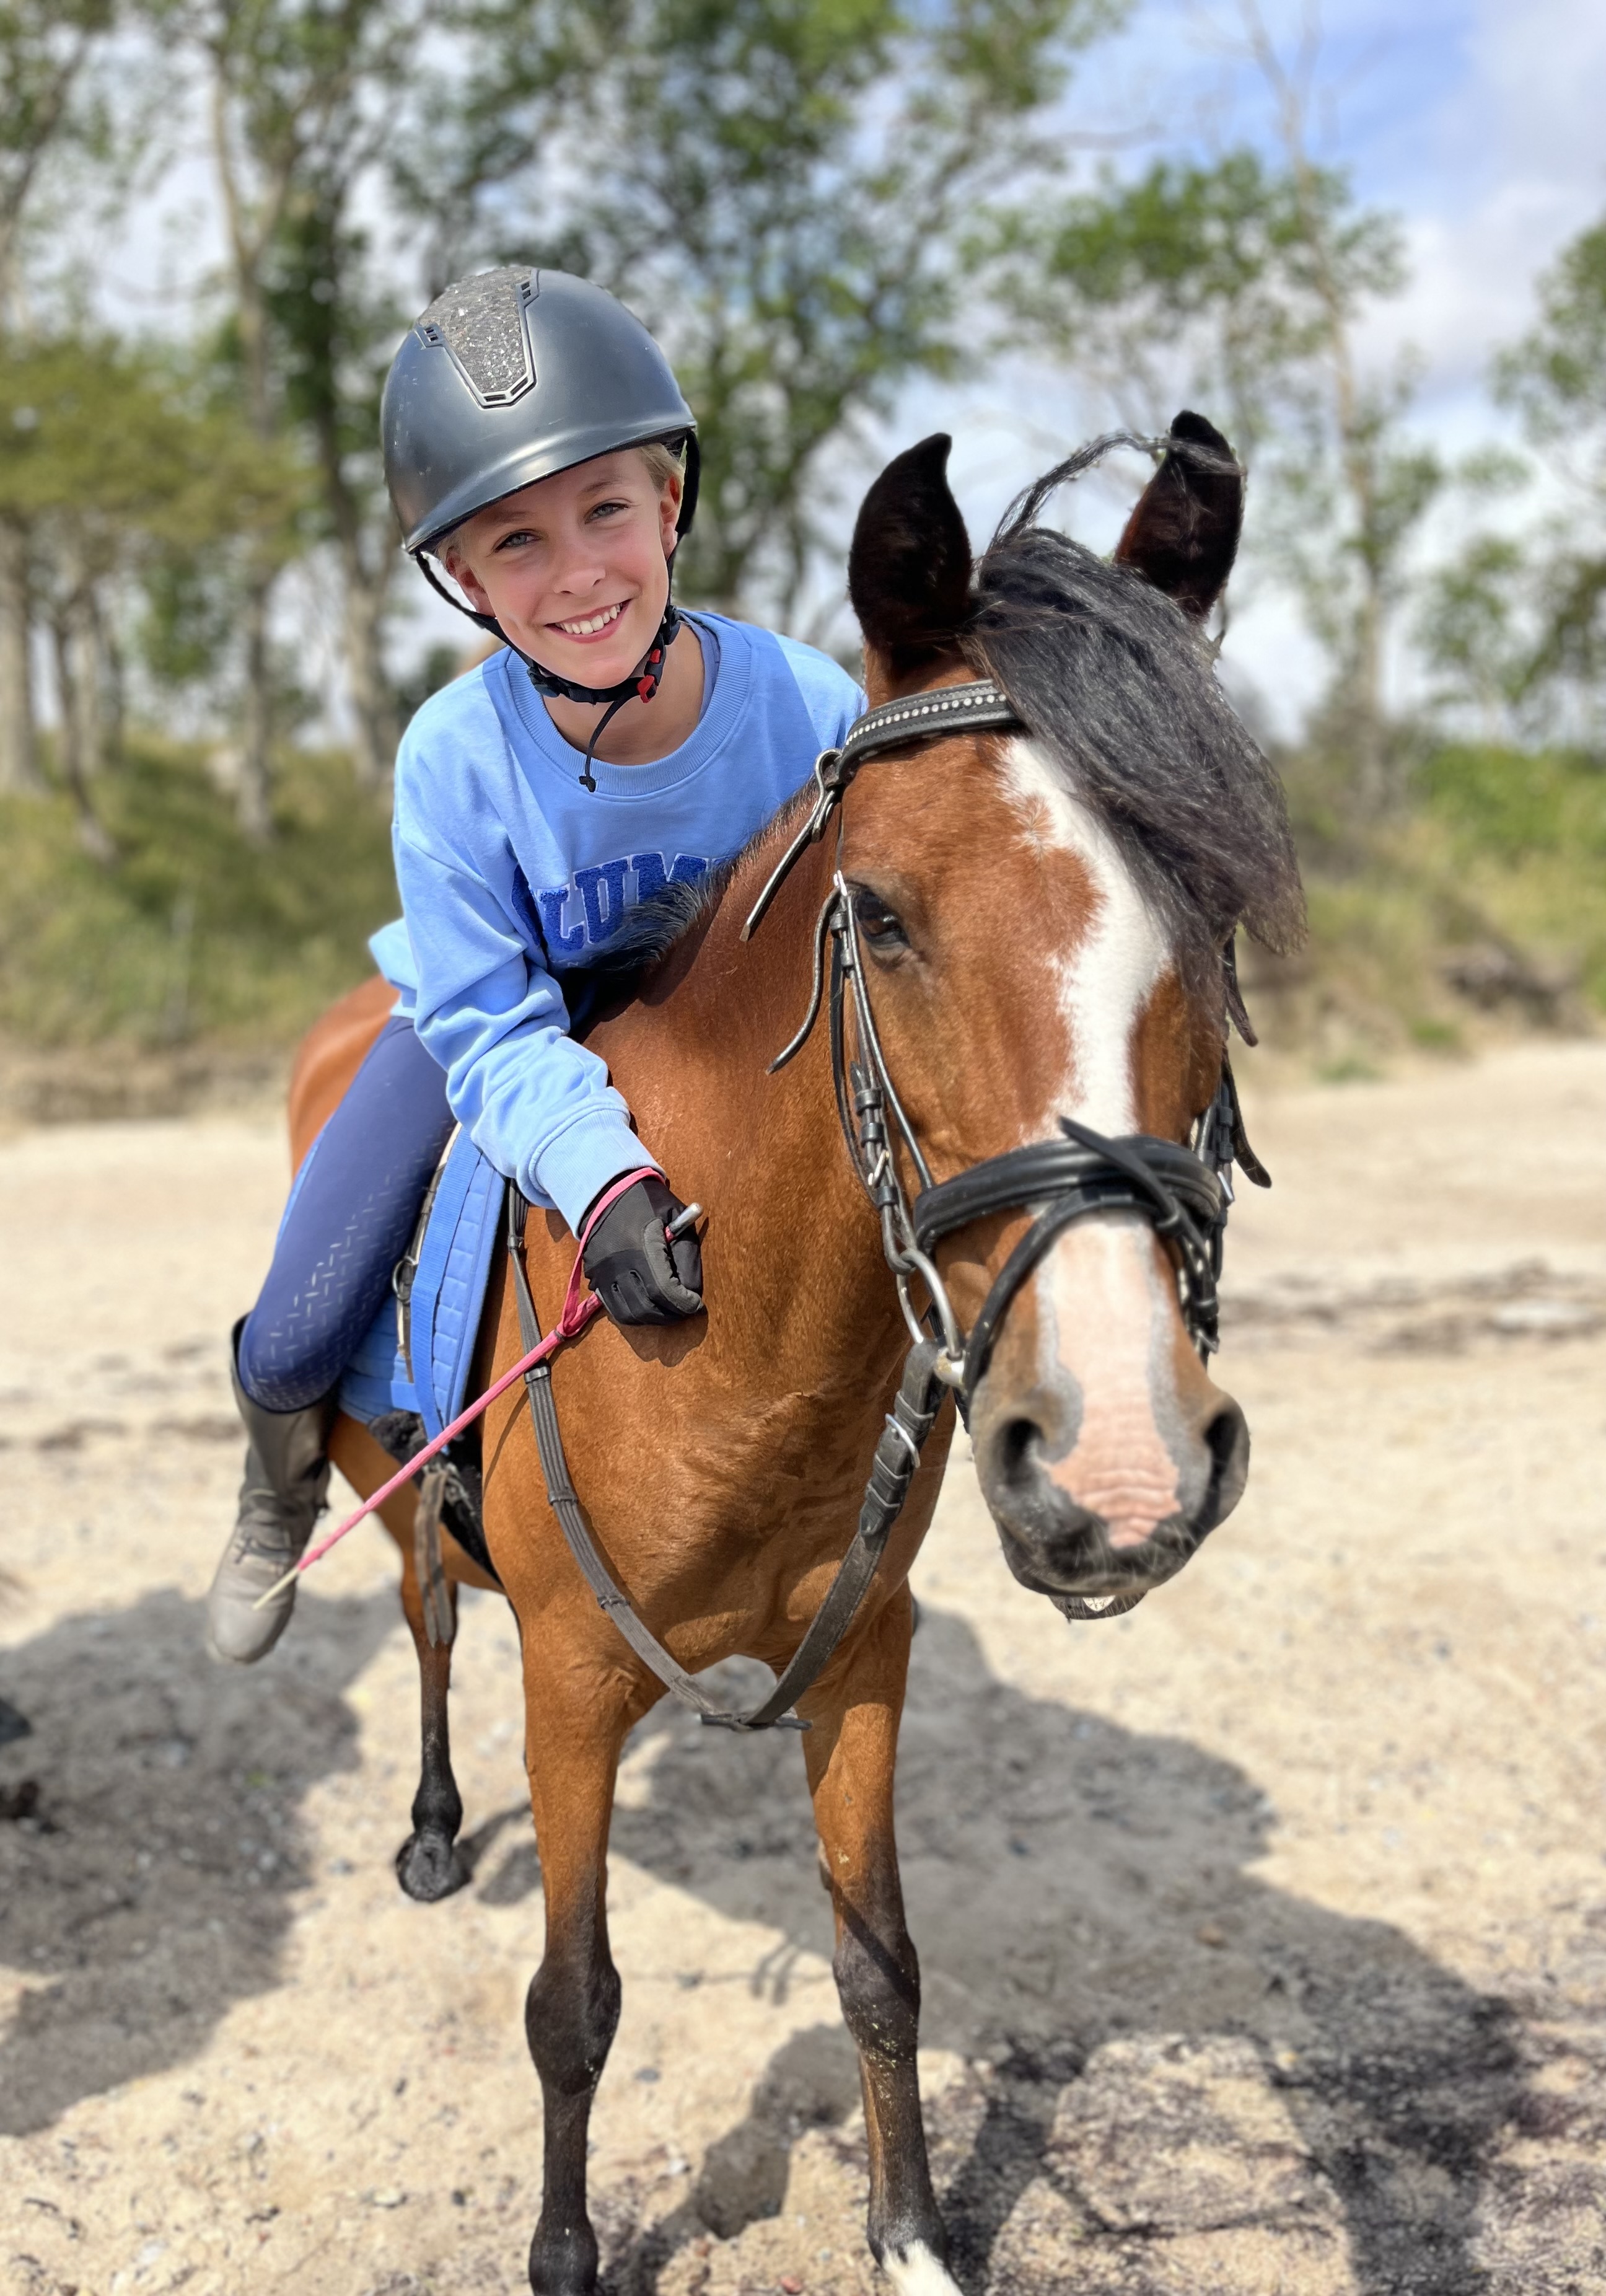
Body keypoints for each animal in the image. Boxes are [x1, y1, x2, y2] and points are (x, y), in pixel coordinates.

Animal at [284, 413, 1304, 2296]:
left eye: (1213, 911)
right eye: (881, 915)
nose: (1121, 1459)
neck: (746, 1361)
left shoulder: (866, 1660)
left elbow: (879, 1963)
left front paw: (911, 2236)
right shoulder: (573, 1683)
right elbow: (574, 2005)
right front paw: (567, 2257)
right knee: (424, 1615)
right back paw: (436, 1827)